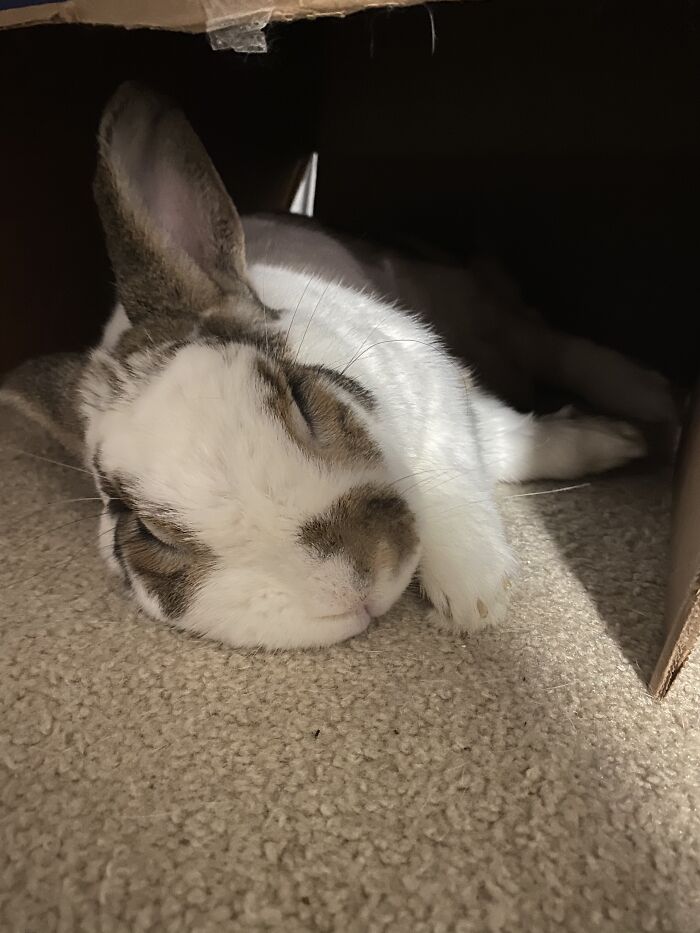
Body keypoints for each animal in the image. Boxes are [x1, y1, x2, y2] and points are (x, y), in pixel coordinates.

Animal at [0, 82, 669, 650]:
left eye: (300, 397)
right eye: (148, 532)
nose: (355, 586)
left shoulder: (429, 373)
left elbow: (478, 451)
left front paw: (476, 594)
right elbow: (491, 446)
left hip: (481, 307)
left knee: (552, 343)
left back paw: (653, 401)